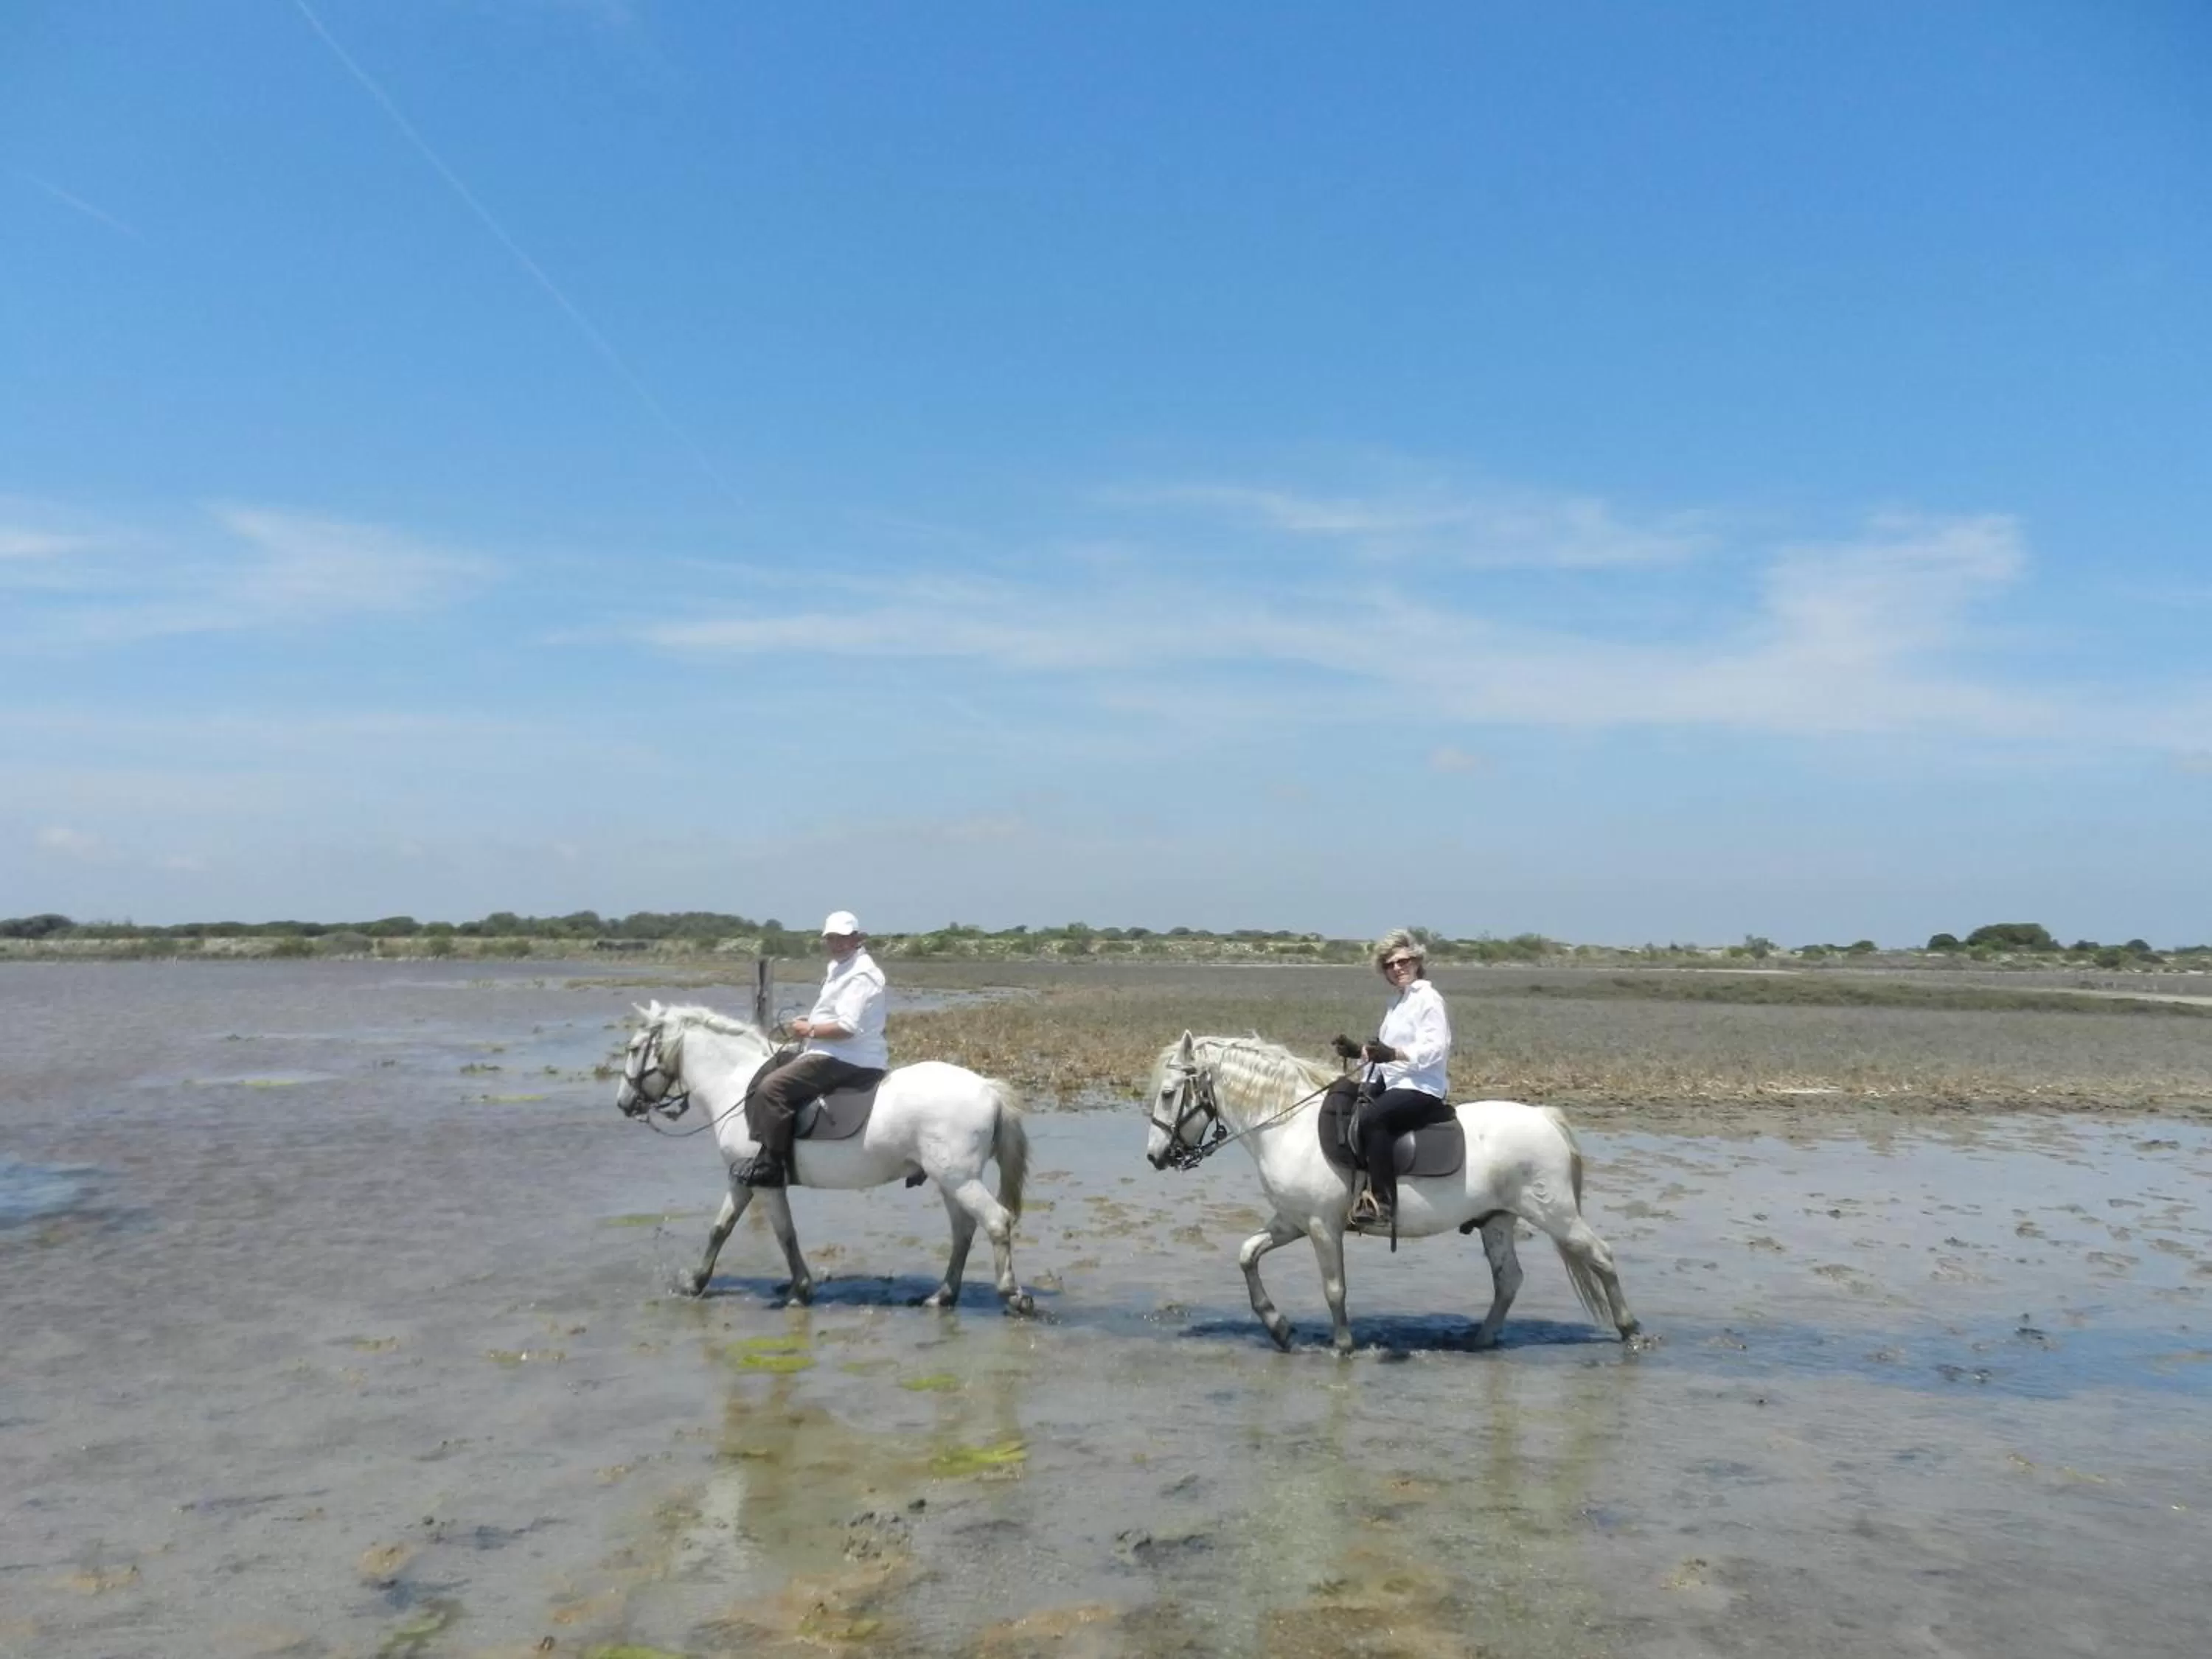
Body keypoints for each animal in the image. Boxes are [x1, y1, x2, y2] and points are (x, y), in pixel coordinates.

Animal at [616, 1002, 1035, 1314]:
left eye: (634, 1049)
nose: (624, 1103)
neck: (734, 1082)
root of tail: (987, 1088)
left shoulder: (765, 1183)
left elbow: (785, 1234)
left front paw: (800, 1289)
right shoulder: (741, 1178)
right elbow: (720, 1229)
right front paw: (695, 1282)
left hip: (959, 1179)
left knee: (996, 1222)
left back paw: (1013, 1296)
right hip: (951, 1181)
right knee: (963, 1231)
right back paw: (942, 1295)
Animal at [1142, 1031, 1640, 1356]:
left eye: (1168, 1093)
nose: (1155, 1156)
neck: (1288, 1124)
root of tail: (1543, 1117)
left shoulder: (1322, 1227)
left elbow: (1335, 1289)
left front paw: (1343, 1345)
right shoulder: (1292, 1222)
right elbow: (1248, 1255)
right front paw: (1278, 1327)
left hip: (1556, 1214)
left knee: (1600, 1256)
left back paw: (1630, 1329)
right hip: (1498, 1219)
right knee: (1509, 1279)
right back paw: (1481, 1341)